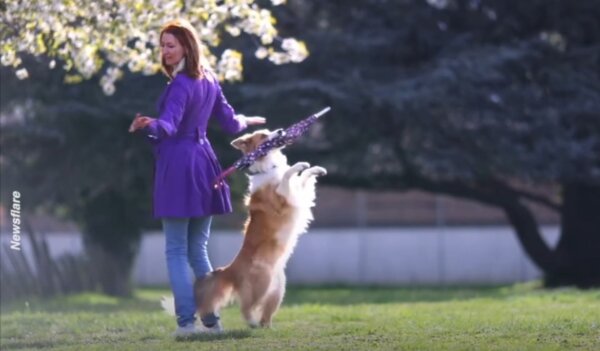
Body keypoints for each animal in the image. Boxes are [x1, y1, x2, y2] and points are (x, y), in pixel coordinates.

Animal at [193, 129, 326, 330]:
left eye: (269, 131)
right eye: (263, 135)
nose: (280, 130)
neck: (268, 167)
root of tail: (230, 269)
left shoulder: (299, 194)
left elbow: (303, 178)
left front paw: (316, 169)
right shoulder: (284, 198)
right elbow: (288, 174)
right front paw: (298, 165)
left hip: (278, 289)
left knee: (265, 312)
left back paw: (268, 327)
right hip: (262, 283)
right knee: (246, 307)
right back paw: (253, 323)